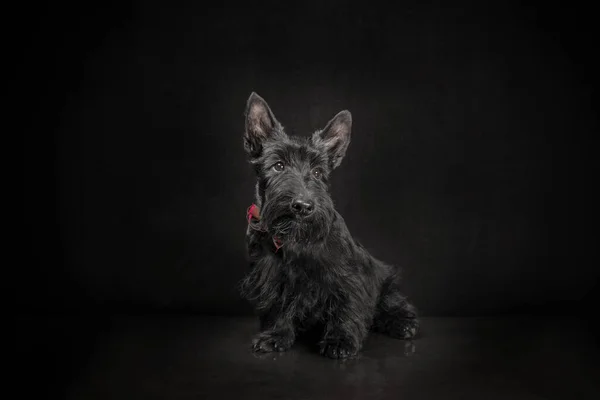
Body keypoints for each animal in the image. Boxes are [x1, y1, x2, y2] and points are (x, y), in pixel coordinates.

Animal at [239, 94, 418, 360]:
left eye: (317, 172)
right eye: (278, 166)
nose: (303, 206)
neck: (294, 240)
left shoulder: (348, 278)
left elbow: (345, 308)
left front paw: (340, 340)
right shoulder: (272, 278)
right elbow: (279, 308)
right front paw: (276, 336)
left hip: (385, 282)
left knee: (394, 303)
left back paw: (403, 323)